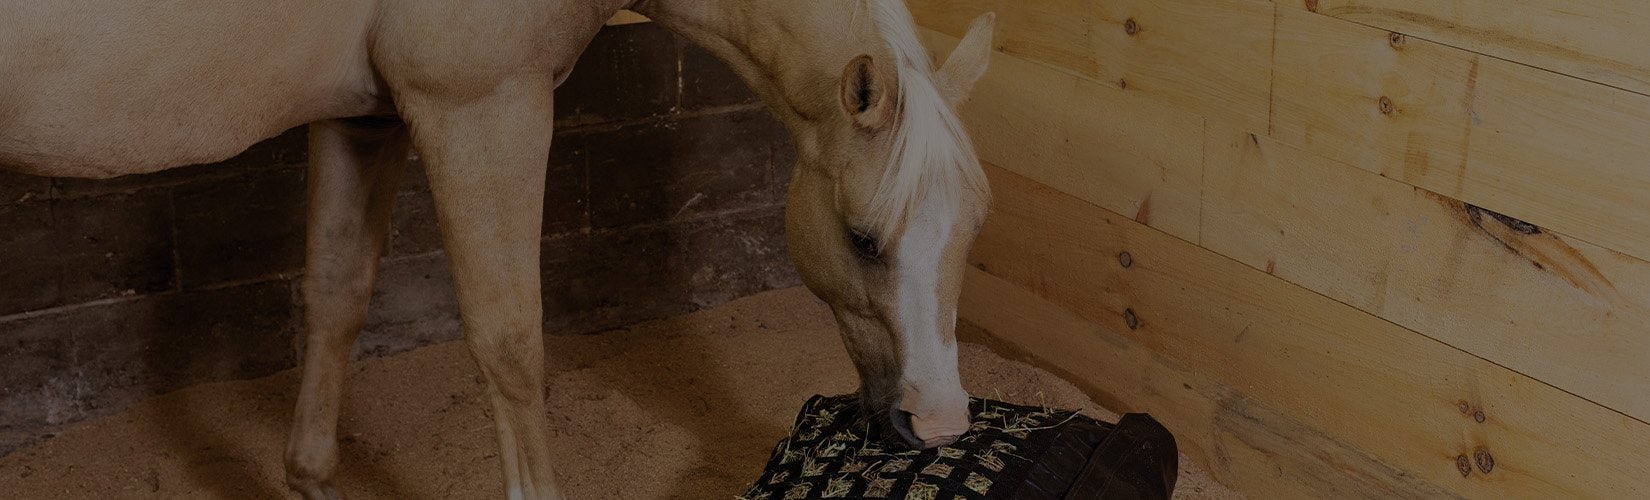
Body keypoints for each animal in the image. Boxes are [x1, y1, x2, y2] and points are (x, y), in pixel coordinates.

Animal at [0, 0, 996, 498]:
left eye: (975, 228)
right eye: (864, 238)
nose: (940, 423)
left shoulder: (362, 121)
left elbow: (335, 298)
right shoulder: (481, 108)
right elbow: (511, 346)